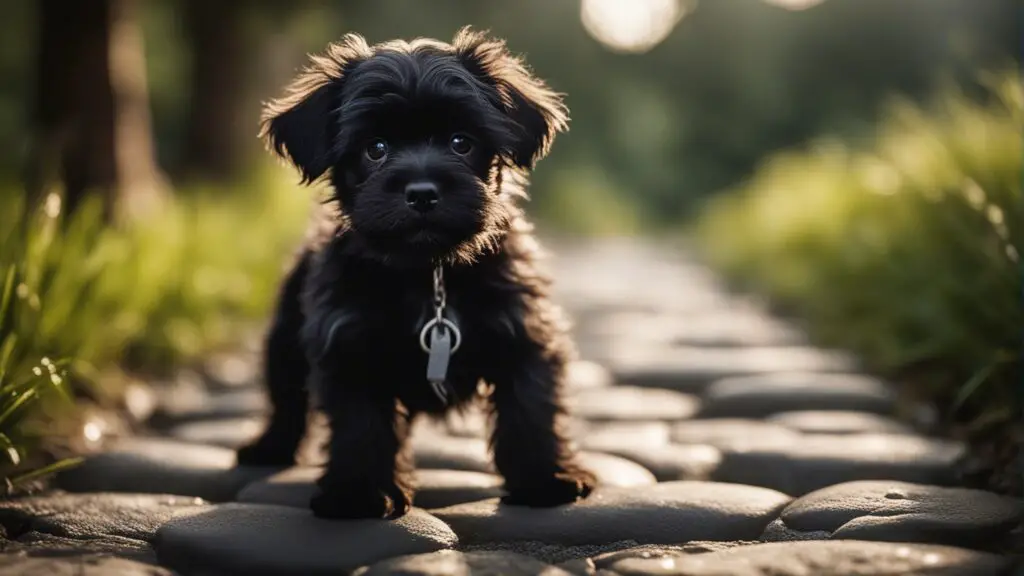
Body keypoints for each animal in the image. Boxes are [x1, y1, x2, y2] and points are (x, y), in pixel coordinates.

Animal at [234, 26, 598, 518]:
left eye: (461, 142)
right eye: (375, 149)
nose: (422, 191)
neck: (428, 273)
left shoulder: (525, 335)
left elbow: (531, 408)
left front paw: (545, 480)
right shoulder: (349, 344)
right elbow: (361, 426)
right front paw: (359, 494)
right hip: (284, 339)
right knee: (285, 397)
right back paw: (268, 447)